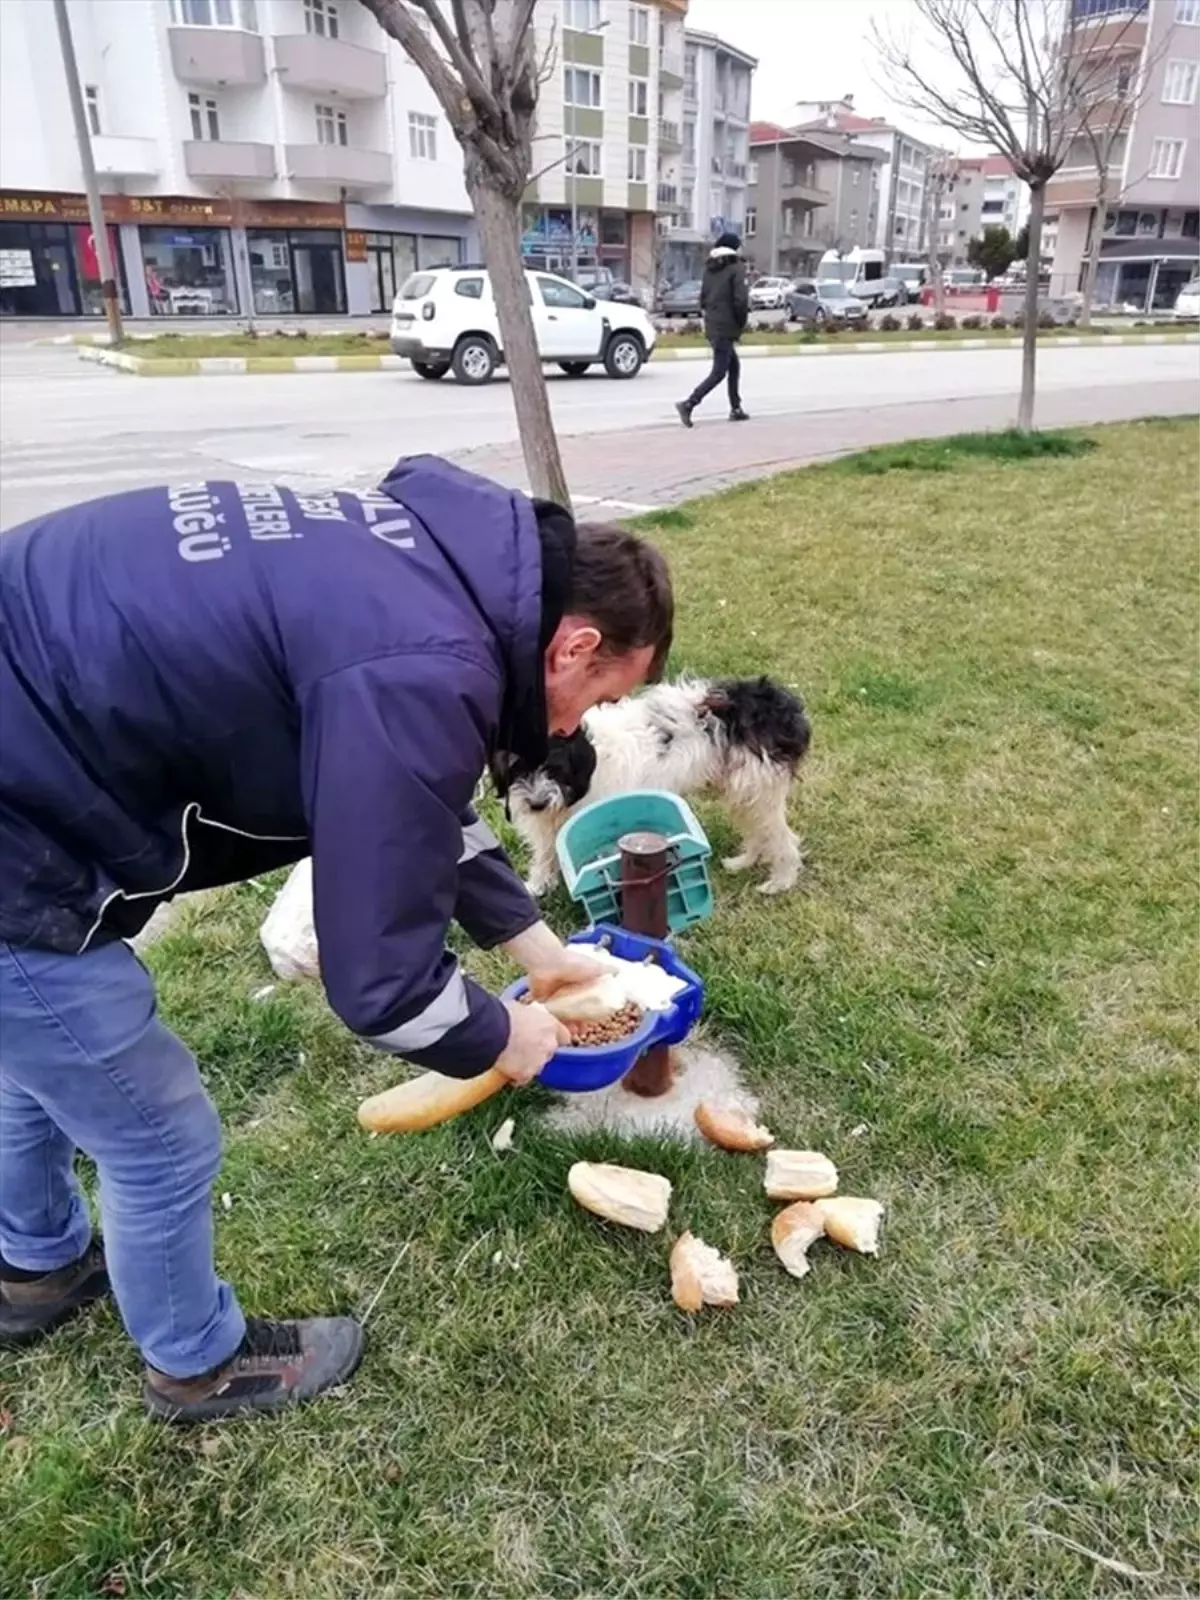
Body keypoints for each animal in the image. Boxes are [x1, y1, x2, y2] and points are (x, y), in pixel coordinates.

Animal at [502, 675, 812, 902]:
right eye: (516, 767)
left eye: (554, 767)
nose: (536, 803)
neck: (587, 759)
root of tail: (781, 705)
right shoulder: (549, 822)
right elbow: (545, 853)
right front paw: (536, 887)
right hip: (744, 792)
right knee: (759, 832)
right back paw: (743, 862)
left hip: (757, 789)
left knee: (781, 837)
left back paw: (780, 881)